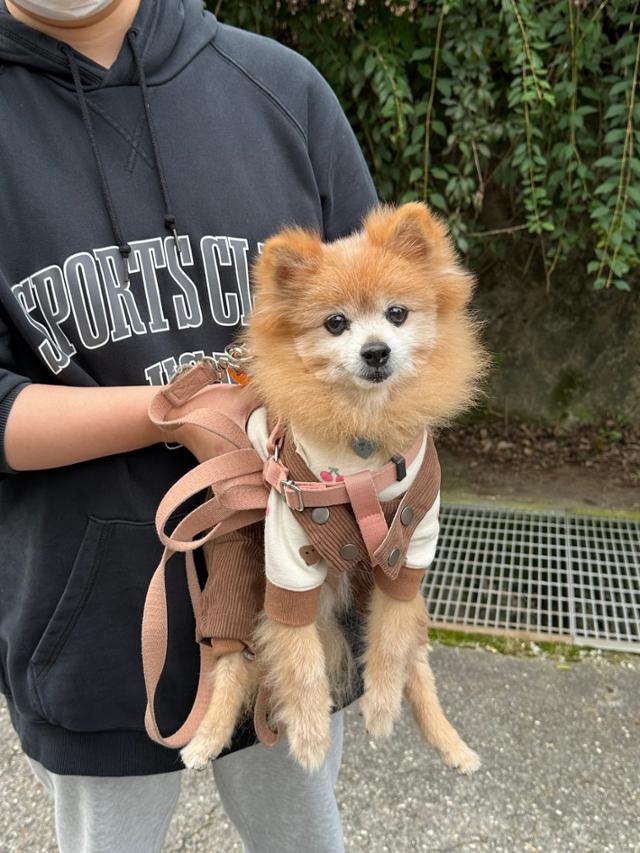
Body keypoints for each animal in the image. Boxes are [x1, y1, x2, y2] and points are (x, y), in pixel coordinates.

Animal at [179, 201, 484, 772]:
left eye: (397, 314)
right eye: (336, 323)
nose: (375, 351)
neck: (363, 441)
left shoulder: (410, 548)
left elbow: (390, 643)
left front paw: (381, 708)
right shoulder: (291, 559)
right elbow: (300, 662)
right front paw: (310, 735)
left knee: (417, 661)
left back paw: (451, 744)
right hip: (237, 580)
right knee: (232, 665)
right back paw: (204, 740)